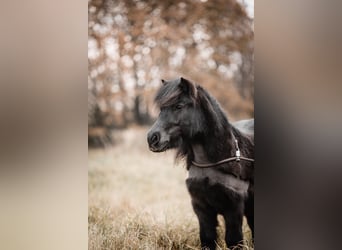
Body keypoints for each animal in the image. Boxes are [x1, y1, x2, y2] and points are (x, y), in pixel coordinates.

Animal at [147, 77, 254, 249]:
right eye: (162, 109)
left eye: (179, 106)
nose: (152, 139)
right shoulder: (202, 208)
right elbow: (207, 239)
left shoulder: (233, 209)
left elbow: (234, 240)